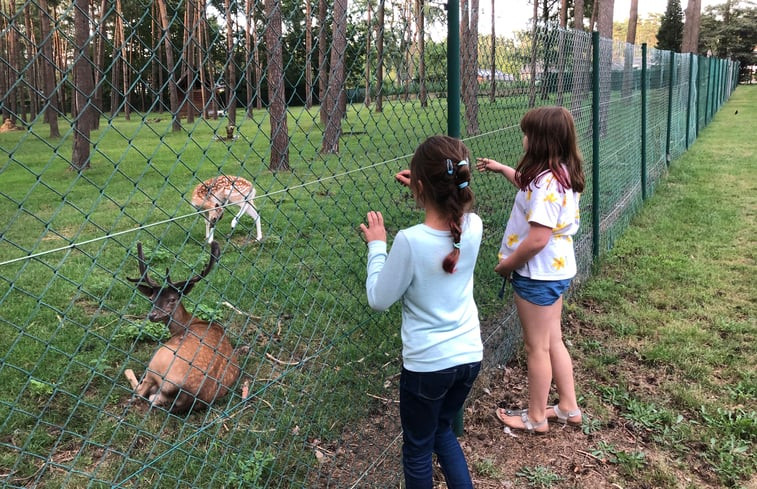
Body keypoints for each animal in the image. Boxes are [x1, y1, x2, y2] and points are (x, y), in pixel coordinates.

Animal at [123, 240, 239, 412]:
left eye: (172, 299)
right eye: (151, 298)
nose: (153, 315)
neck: (187, 323)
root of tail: (185, 393)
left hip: (157, 360)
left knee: (140, 392)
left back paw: (129, 371)